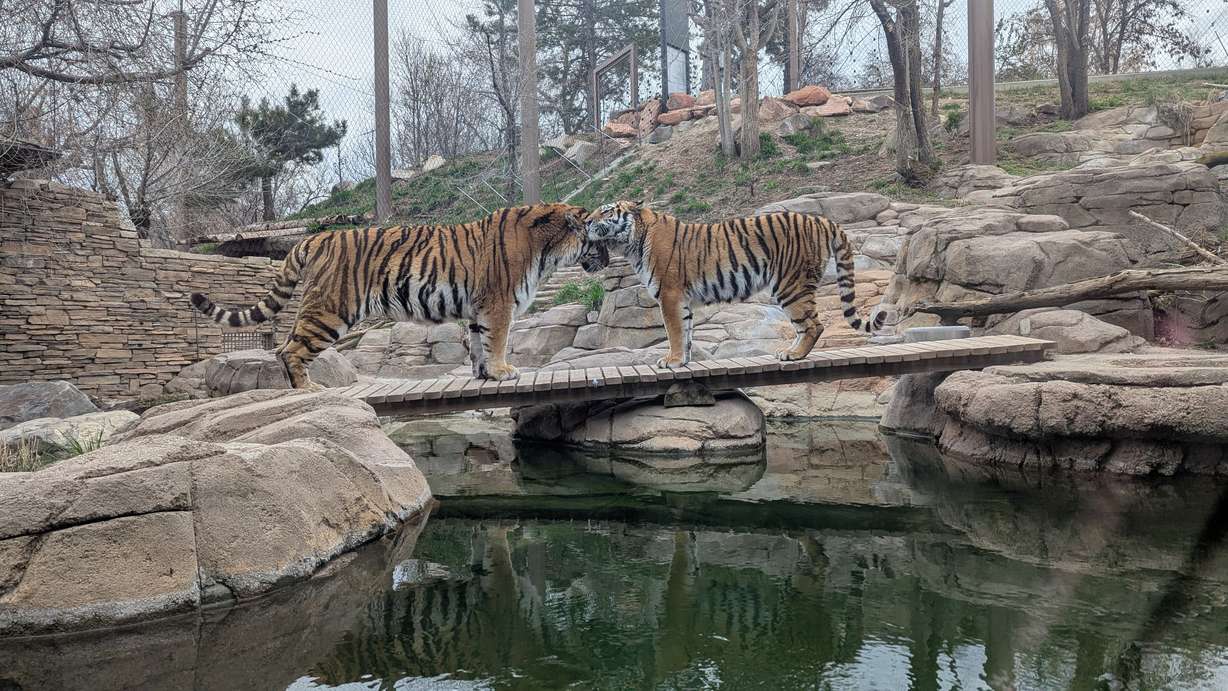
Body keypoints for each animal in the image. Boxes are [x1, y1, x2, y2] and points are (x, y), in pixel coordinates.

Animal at [191, 203, 608, 390]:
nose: (606, 260)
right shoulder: (499, 303)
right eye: (600, 239)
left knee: (283, 347)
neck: (548, 248)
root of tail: (314, 237)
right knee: (289, 350)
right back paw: (308, 389)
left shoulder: (479, 308)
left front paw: (483, 373)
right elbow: (499, 340)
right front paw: (503, 370)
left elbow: (479, 343)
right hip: (330, 310)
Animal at [583, 200, 888, 369]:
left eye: (606, 212)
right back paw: (788, 352)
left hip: (790, 284)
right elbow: (687, 331)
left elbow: (674, 332)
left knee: (813, 325)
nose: (585, 220)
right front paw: (684, 361)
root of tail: (821, 219)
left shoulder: (669, 294)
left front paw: (671, 360)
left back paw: (794, 355)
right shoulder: (682, 300)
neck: (632, 241)